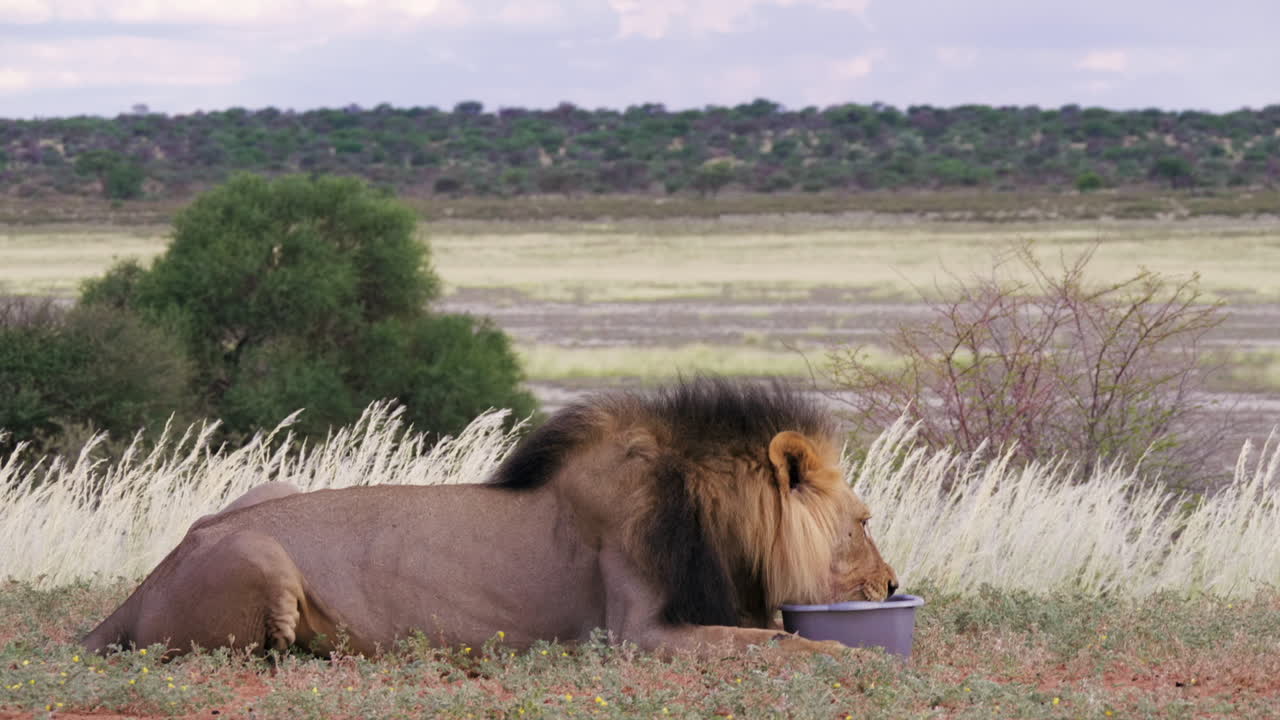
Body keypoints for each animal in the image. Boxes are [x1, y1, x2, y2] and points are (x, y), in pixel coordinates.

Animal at [82, 378, 897, 658]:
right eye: (862, 522)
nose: (892, 588)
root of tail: (140, 590)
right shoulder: (637, 633)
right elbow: (787, 645)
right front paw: (856, 655)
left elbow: (776, 635)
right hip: (260, 555)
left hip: (261, 492)